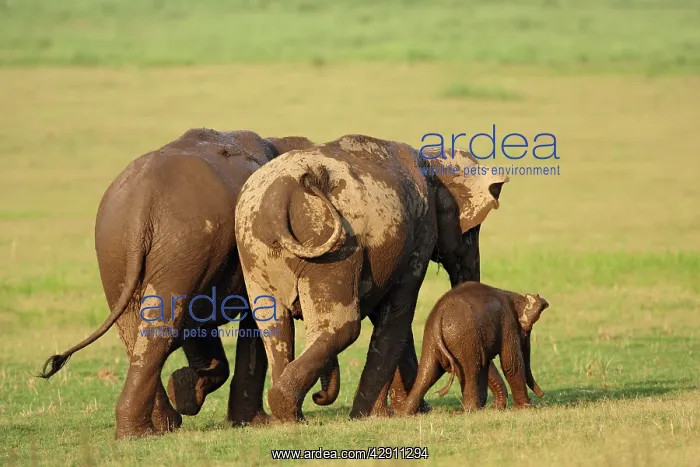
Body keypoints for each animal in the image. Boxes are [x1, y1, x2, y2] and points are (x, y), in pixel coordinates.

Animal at [38, 128, 317, 439]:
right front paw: (247, 420)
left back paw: (160, 424)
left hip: (125, 249)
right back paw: (146, 430)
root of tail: (141, 204)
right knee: (162, 327)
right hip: (180, 243)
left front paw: (186, 390)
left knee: (138, 329)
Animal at [233, 134, 510, 422]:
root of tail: (279, 198)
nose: (319, 396)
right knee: (343, 326)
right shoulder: (419, 235)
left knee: (273, 325)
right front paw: (367, 416)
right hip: (332, 246)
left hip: (254, 246)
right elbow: (398, 313)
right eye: (473, 231)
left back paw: (289, 417)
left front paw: (399, 412)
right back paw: (287, 407)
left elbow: (387, 315)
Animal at [398, 282, 548, 415]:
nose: (541, 396)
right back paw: (472, 411)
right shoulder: (508, 324)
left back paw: (406, 414)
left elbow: (487, 363)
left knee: (428, 372)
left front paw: (497, 408)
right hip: (463, 338)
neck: (515, 297)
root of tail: (437, 319)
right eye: (527, 332)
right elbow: (511, 364)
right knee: (470, 369)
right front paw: (527, 408)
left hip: (432, 340)